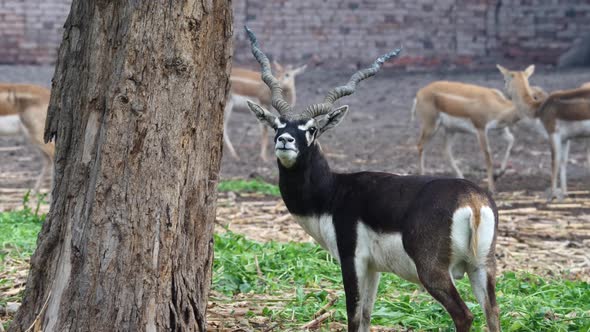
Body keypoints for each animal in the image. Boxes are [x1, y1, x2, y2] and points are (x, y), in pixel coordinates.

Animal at [244, 27, 500, 332]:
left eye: (311, 129)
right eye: (277, 126)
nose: (285, 140)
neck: (332, 193)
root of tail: (472, 200)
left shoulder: (351, 258)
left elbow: (353, 315)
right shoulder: (373, 267)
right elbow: (367, 314)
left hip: (432, 271)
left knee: (464, 314)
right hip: (482, 267)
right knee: (492, 312)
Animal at [414, 80, 548, 193]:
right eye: (535, 97)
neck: (497, 106)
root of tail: (420, 92)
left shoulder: (500, 129)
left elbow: (511, 140)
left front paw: (498, 174)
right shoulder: (481, 129)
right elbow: (488, 156)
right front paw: (492, 188)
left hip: (451, 130)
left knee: (446, 151)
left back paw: (461, 178)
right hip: (431, 125)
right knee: (420, 145)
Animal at [500, 64, 590, 200]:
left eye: (504, 80)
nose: (506, 95)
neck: (538, 110)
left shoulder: (553, 133)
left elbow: (554, 162)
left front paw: (552, 194)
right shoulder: (566, 138)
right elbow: (563, 162)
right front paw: (564, 193)